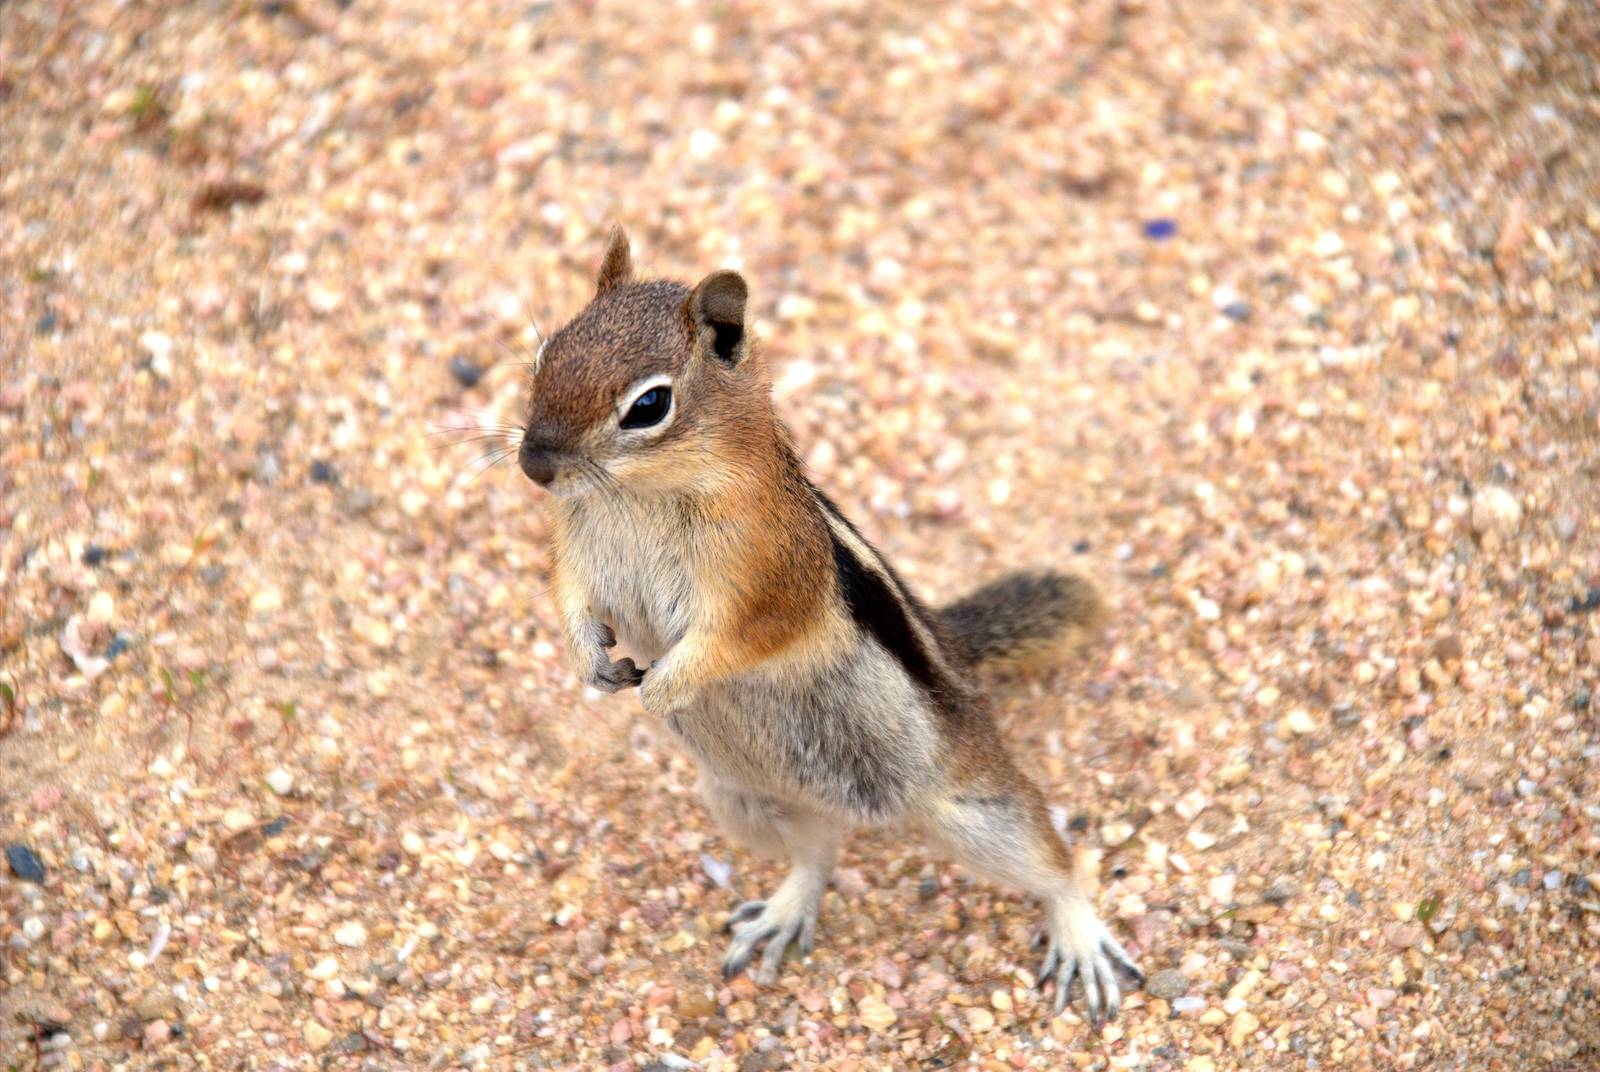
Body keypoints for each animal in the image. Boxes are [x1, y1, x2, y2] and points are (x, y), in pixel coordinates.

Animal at [517, 228, 1143, 1022]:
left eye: (648, 405)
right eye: (547, 351)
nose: (533, 464)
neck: (640, 494)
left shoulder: (766, 577)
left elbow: (734, 640)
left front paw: (660, 689)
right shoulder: (575, 550)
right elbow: (568, 601)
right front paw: (590, 665)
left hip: (974, 808)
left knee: (1053, 861)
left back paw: (1080, 936)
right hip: (745, 798)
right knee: (818, 853)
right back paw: (786, 911)